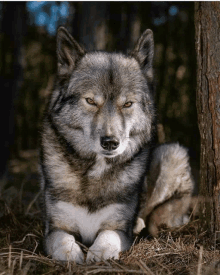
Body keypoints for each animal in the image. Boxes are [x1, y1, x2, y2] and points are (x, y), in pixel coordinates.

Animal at [40, 26, 194, 266]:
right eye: (91, 101)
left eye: (127, 104)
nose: (111, 143)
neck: (95, 171)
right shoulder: (55, 228)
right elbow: (62, 242)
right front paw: (71, 255)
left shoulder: (119, 228)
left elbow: (107, 236)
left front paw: (98, 254)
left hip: (171, 153)